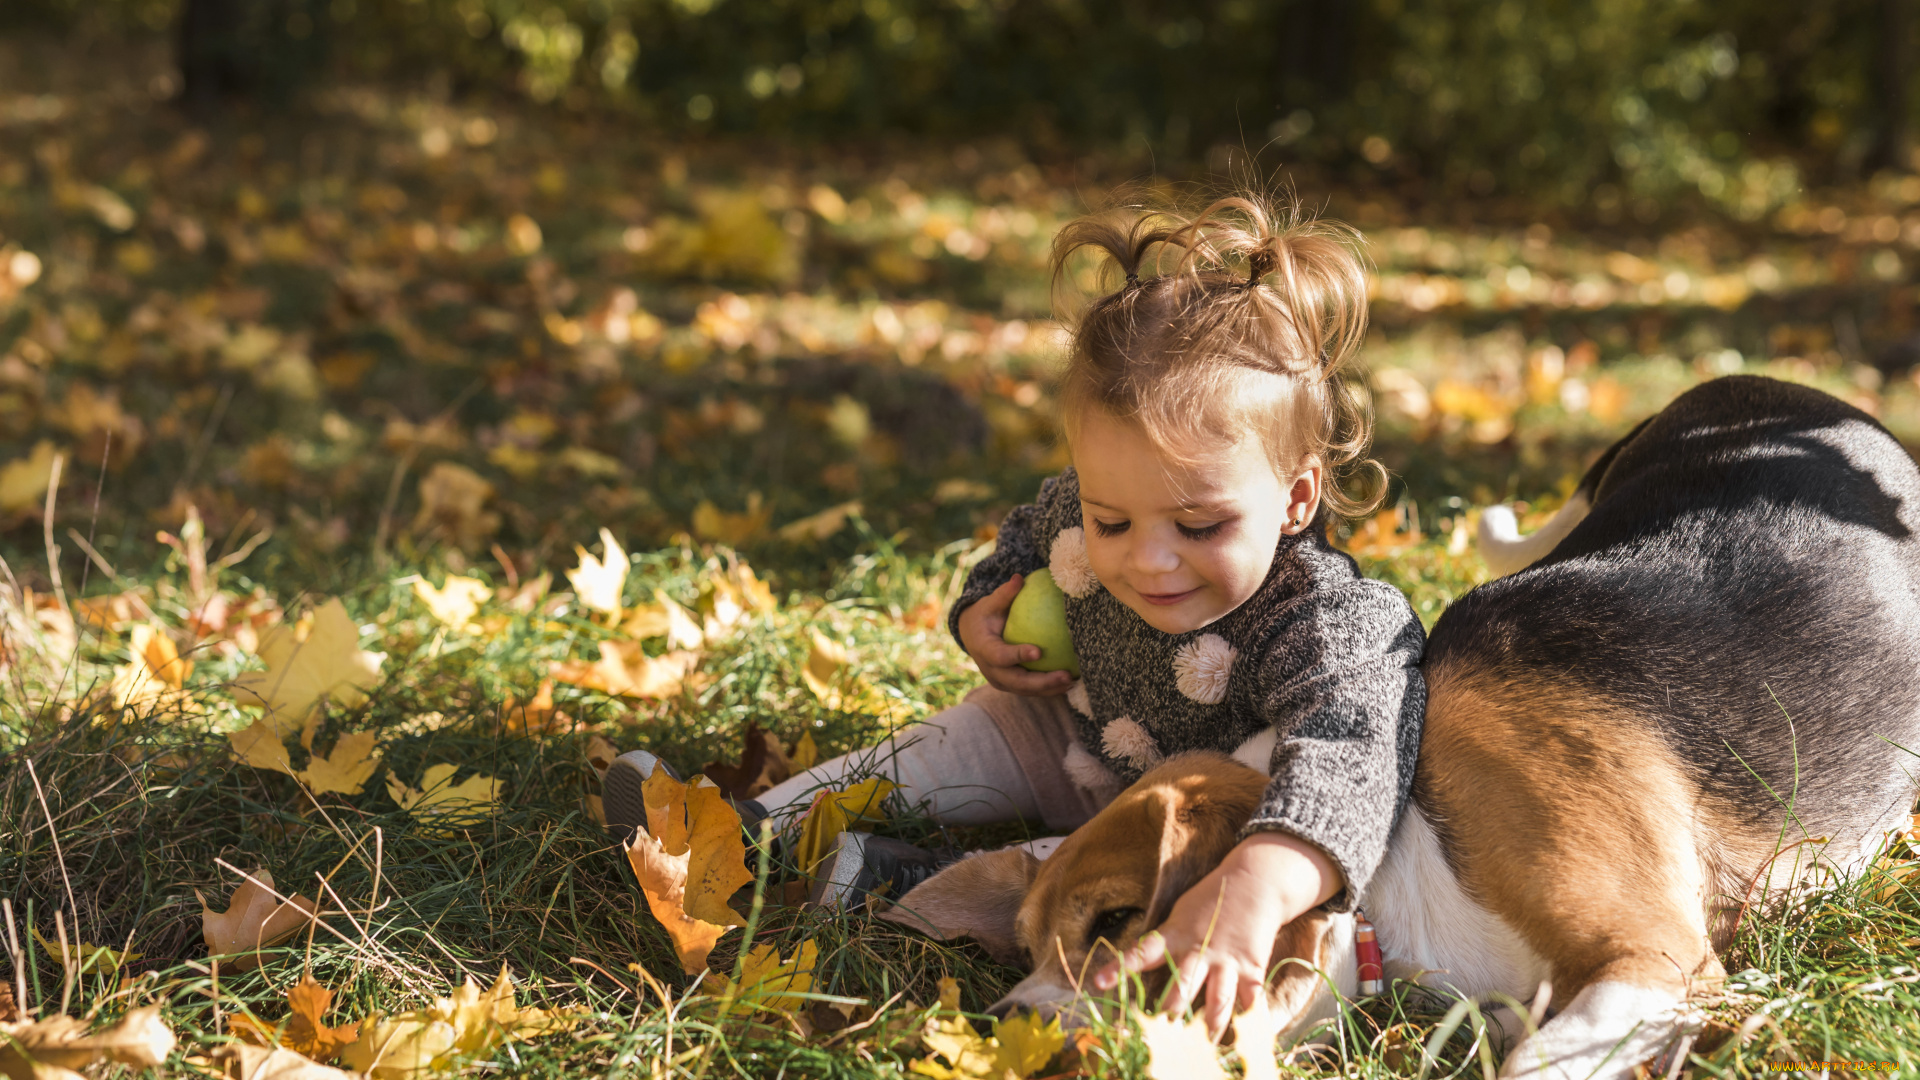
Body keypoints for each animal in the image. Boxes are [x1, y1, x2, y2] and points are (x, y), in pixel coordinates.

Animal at [879, 374, 1920, 1068]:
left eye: (1118, 921)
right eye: (1028, 952)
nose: (1017, 1034)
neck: (1399, 843)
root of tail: (1780, 389)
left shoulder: (1654, 959)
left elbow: (1535, 1061)